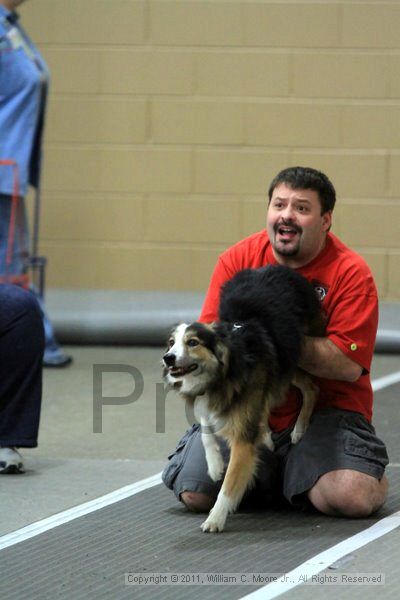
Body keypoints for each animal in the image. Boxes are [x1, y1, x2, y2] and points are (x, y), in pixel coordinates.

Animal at [162, 264, 324, 532]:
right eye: (171, 343)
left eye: (193, 342)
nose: (168, 358)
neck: (223, 372)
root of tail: (283, 268)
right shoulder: (210, 401)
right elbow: (206, 428)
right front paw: (215, 465)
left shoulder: (242, 441)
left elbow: (229, 485)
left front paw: (215, 518)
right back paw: (267, 434)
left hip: (296, 355)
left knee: (312, 387)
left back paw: (299, 429)